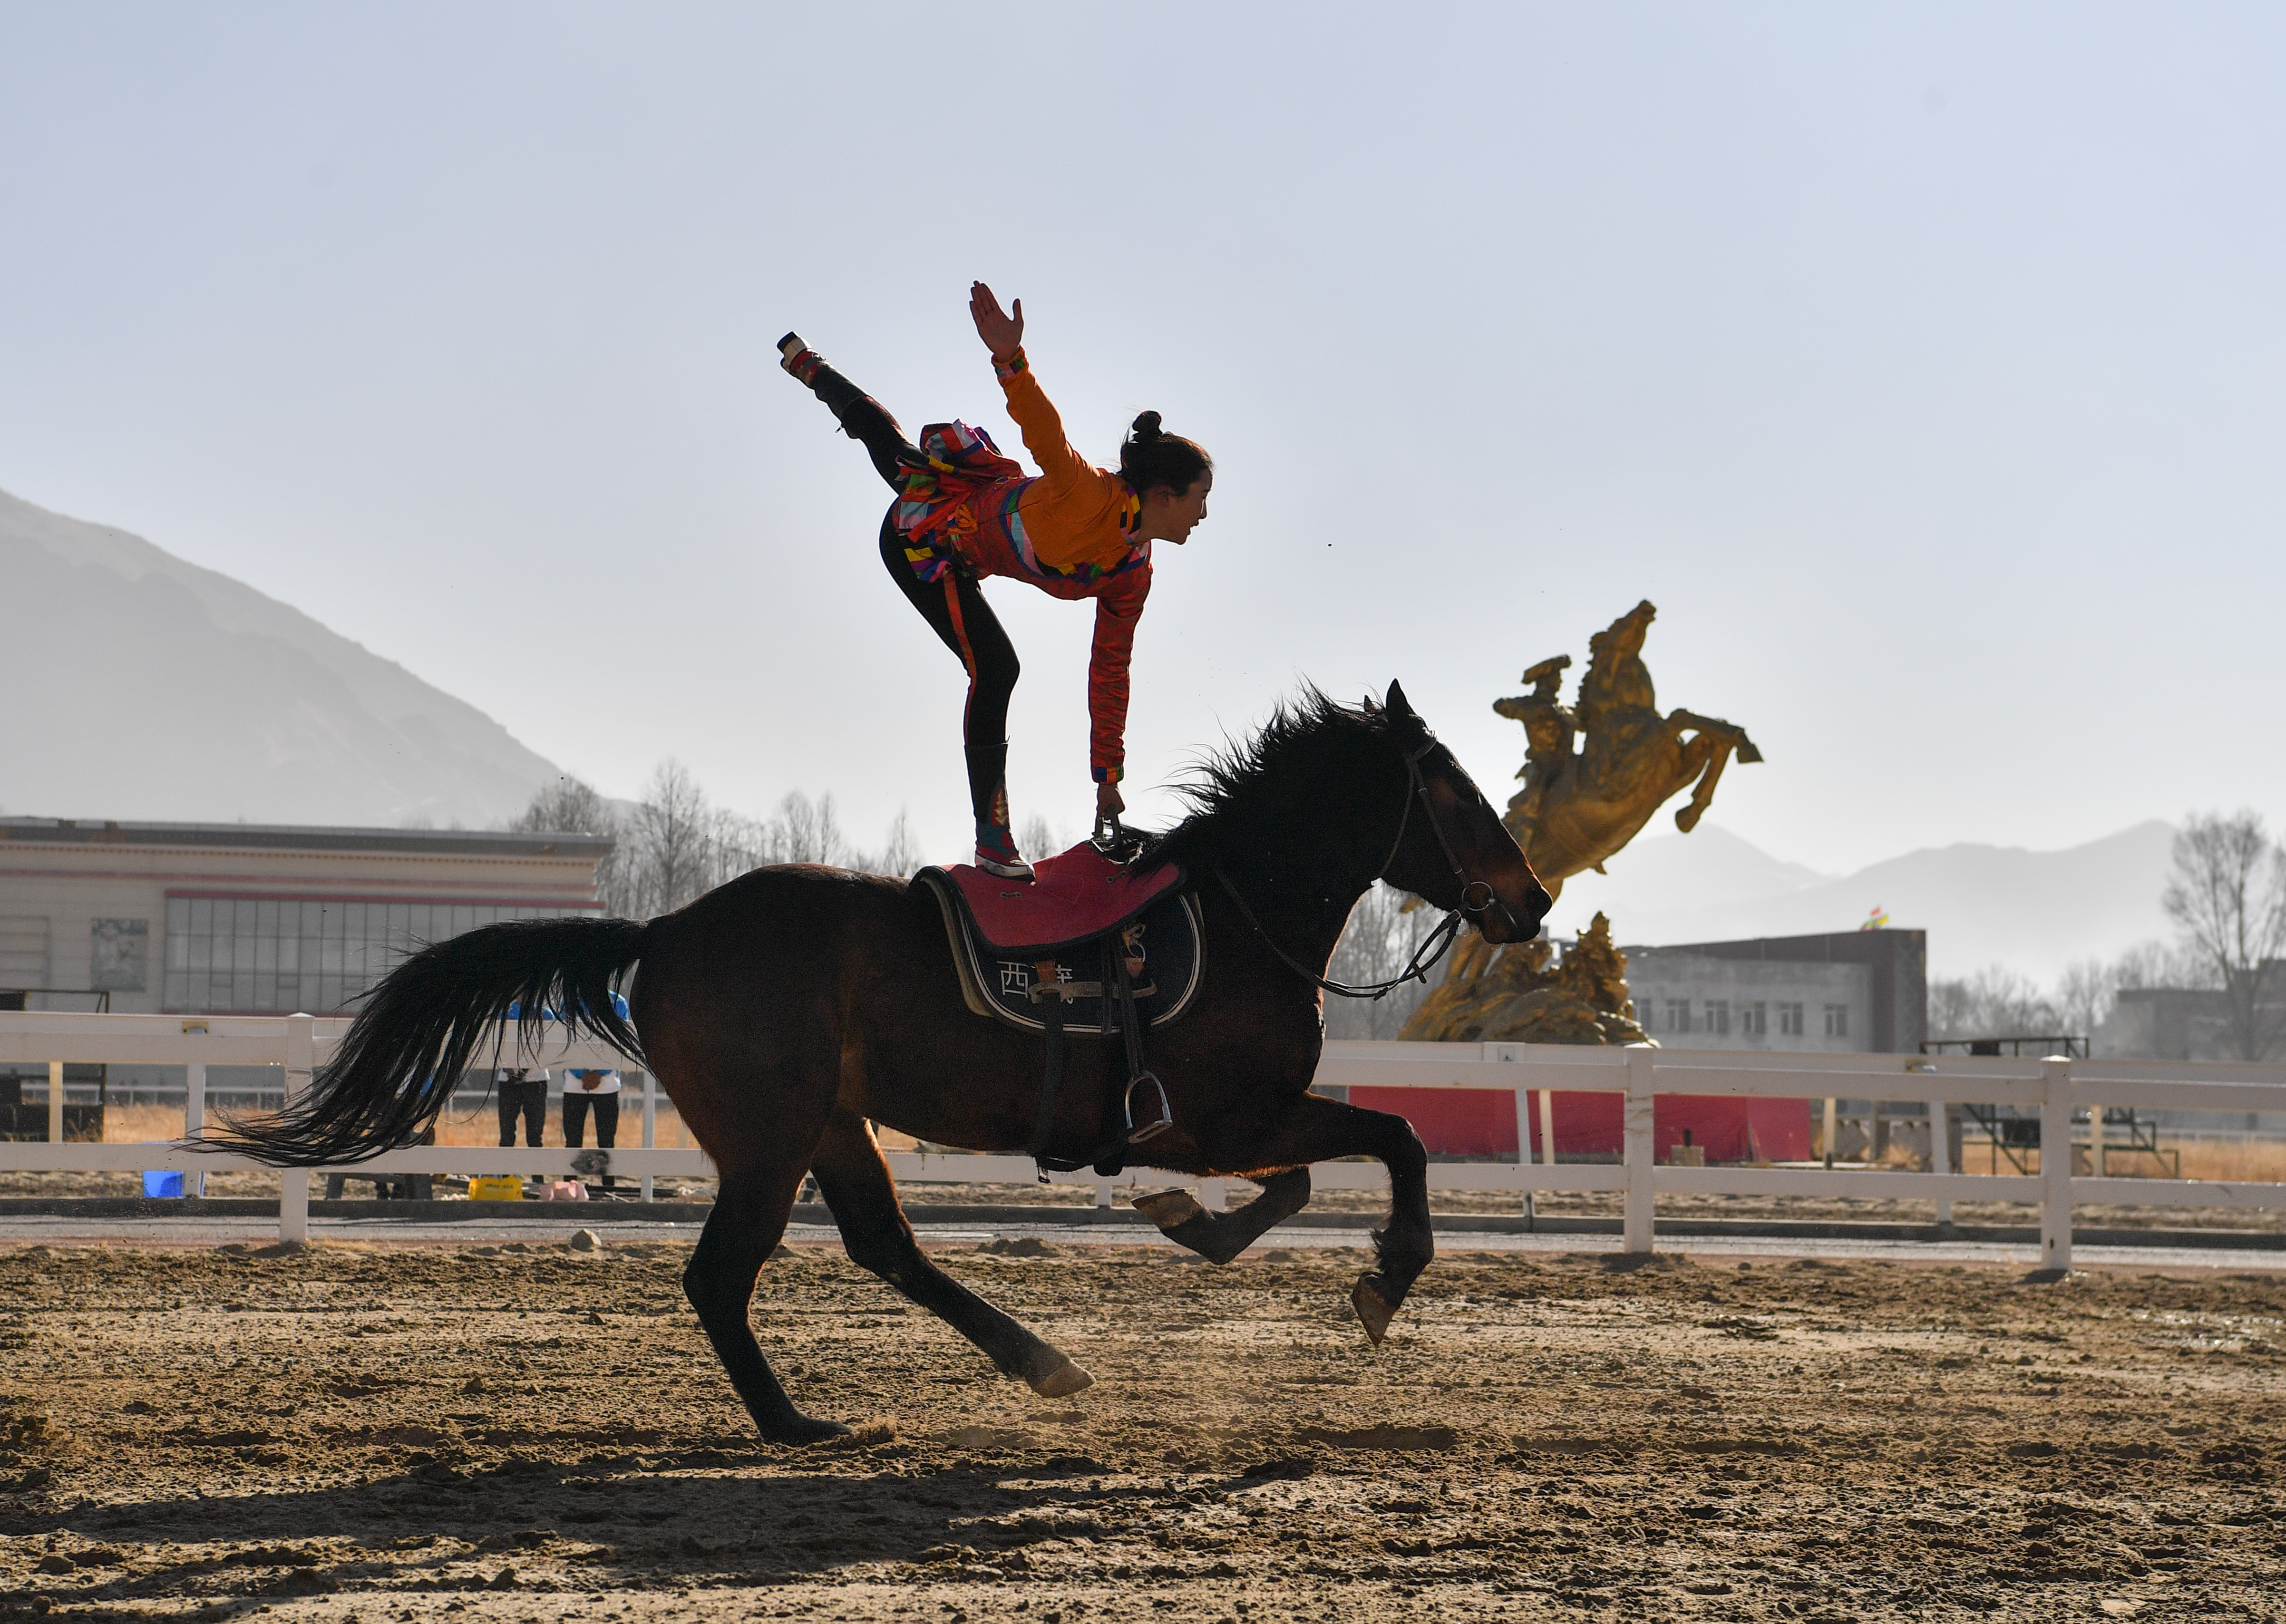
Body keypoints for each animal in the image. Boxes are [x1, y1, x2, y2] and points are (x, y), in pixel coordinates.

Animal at [223, 681, 1554, 1445]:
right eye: (1450, 784)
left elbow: (1305, 1175)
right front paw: (1385, 1276)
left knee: (885, 1246)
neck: (1233, 913)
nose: (1535, 896)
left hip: (831, 1123)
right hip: (770, 1136)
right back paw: (795, 1422)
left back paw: (1037, 1360)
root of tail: (664, 930)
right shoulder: (1230, 1113)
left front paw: (1195, 1225)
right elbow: (1392, 1140)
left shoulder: (1226, 1122)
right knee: (723, 1274)